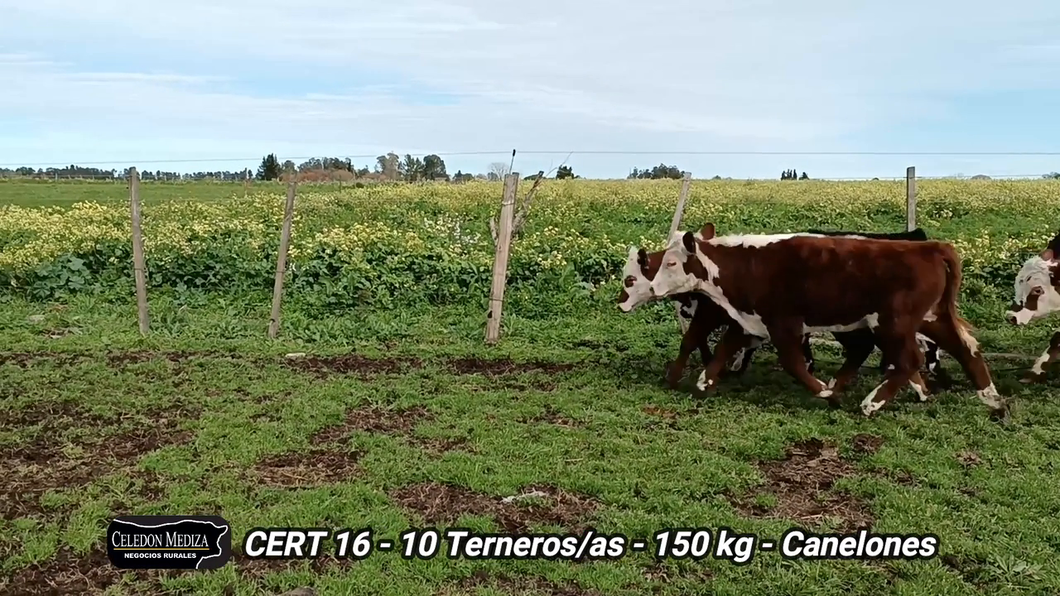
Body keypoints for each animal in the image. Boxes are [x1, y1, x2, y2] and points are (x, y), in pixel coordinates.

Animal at [648, 222, 1004, 417]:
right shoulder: (750, 321)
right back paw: (991, 399)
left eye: (671, 263)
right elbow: (724, 348)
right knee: (966, 349)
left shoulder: (784, 324)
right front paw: (705, 383)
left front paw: (825, 393)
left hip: (893, 323)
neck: (750, 263)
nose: (652, 287)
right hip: (931, 317)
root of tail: (931, 247)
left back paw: (871, 403)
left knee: (909, 360)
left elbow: (793, 363)